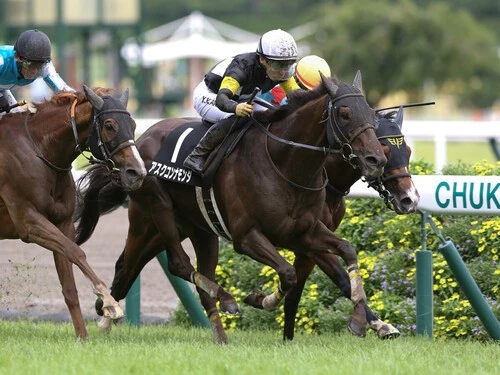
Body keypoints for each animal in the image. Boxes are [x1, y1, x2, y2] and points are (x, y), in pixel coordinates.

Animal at [0, 88, 146, 340]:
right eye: (109, 125)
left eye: (134, 124)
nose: (137, 172)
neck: (41, 150)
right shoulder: (27, 220)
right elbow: (76, 251)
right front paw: (109, 303)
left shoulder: (63, 222)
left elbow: (69, 282)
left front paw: (83, 337)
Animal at [75, 72, 386, 344]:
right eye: (345, 113)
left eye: (371, 113)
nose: (376, 159)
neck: (284, 163)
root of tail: (137, 145)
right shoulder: (246, 237)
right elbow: (289, 274)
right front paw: (259, 299)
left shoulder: (304, 232)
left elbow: (347, 252)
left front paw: (361, 321)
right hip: (155, 211)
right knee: (176, 263)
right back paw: (225, 300)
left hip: (194, 229)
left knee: (133, 266)